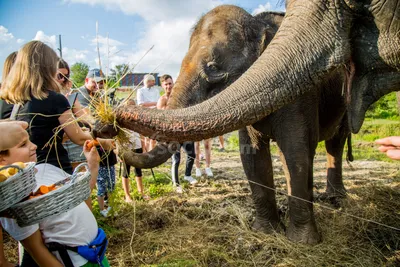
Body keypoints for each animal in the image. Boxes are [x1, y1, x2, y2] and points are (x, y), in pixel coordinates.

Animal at [94, 0, 400, 245]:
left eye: (214, 68)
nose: (105, 125)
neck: (259, 24)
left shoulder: (301, 94)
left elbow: (297, 151)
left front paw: (303, 243)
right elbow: (252, 155)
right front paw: (265, 232)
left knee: (335, 143)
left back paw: (336, 199)